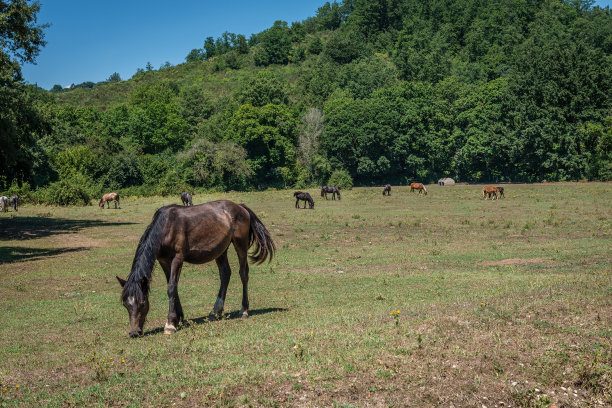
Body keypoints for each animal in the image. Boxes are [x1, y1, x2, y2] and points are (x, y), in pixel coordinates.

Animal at [116, 201, 274, 338]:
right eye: (125, 304)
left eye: (143, 303)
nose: (134, 332)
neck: (166, 227)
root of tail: (241, 207)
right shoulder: (163, 261)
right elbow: (172, 286)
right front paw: (178, 318)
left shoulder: (178, 258)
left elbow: (171, 287)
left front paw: (170, 324)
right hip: (220, 250)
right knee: (225, 274)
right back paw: (215, 311)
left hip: (240, 245)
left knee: (243, 273)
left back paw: (244, 310)